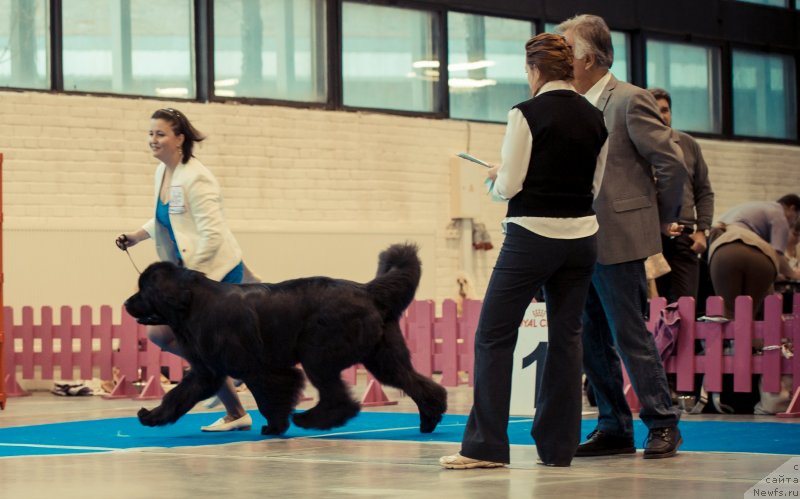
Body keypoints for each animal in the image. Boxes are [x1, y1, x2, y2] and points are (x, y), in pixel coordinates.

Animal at [128, 244, 446, 436]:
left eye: (143, 290)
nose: (126, 303)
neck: (193, 303)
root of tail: (367, 290)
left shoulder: (259, 369)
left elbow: (269, 398)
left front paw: (275, 426)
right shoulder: (207, 371)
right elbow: (177, 396)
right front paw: (152, 416)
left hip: (318, 353)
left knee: (339, 398)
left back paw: (311, 420)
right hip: (383, 357)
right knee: (419, 383)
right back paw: (430, 418)